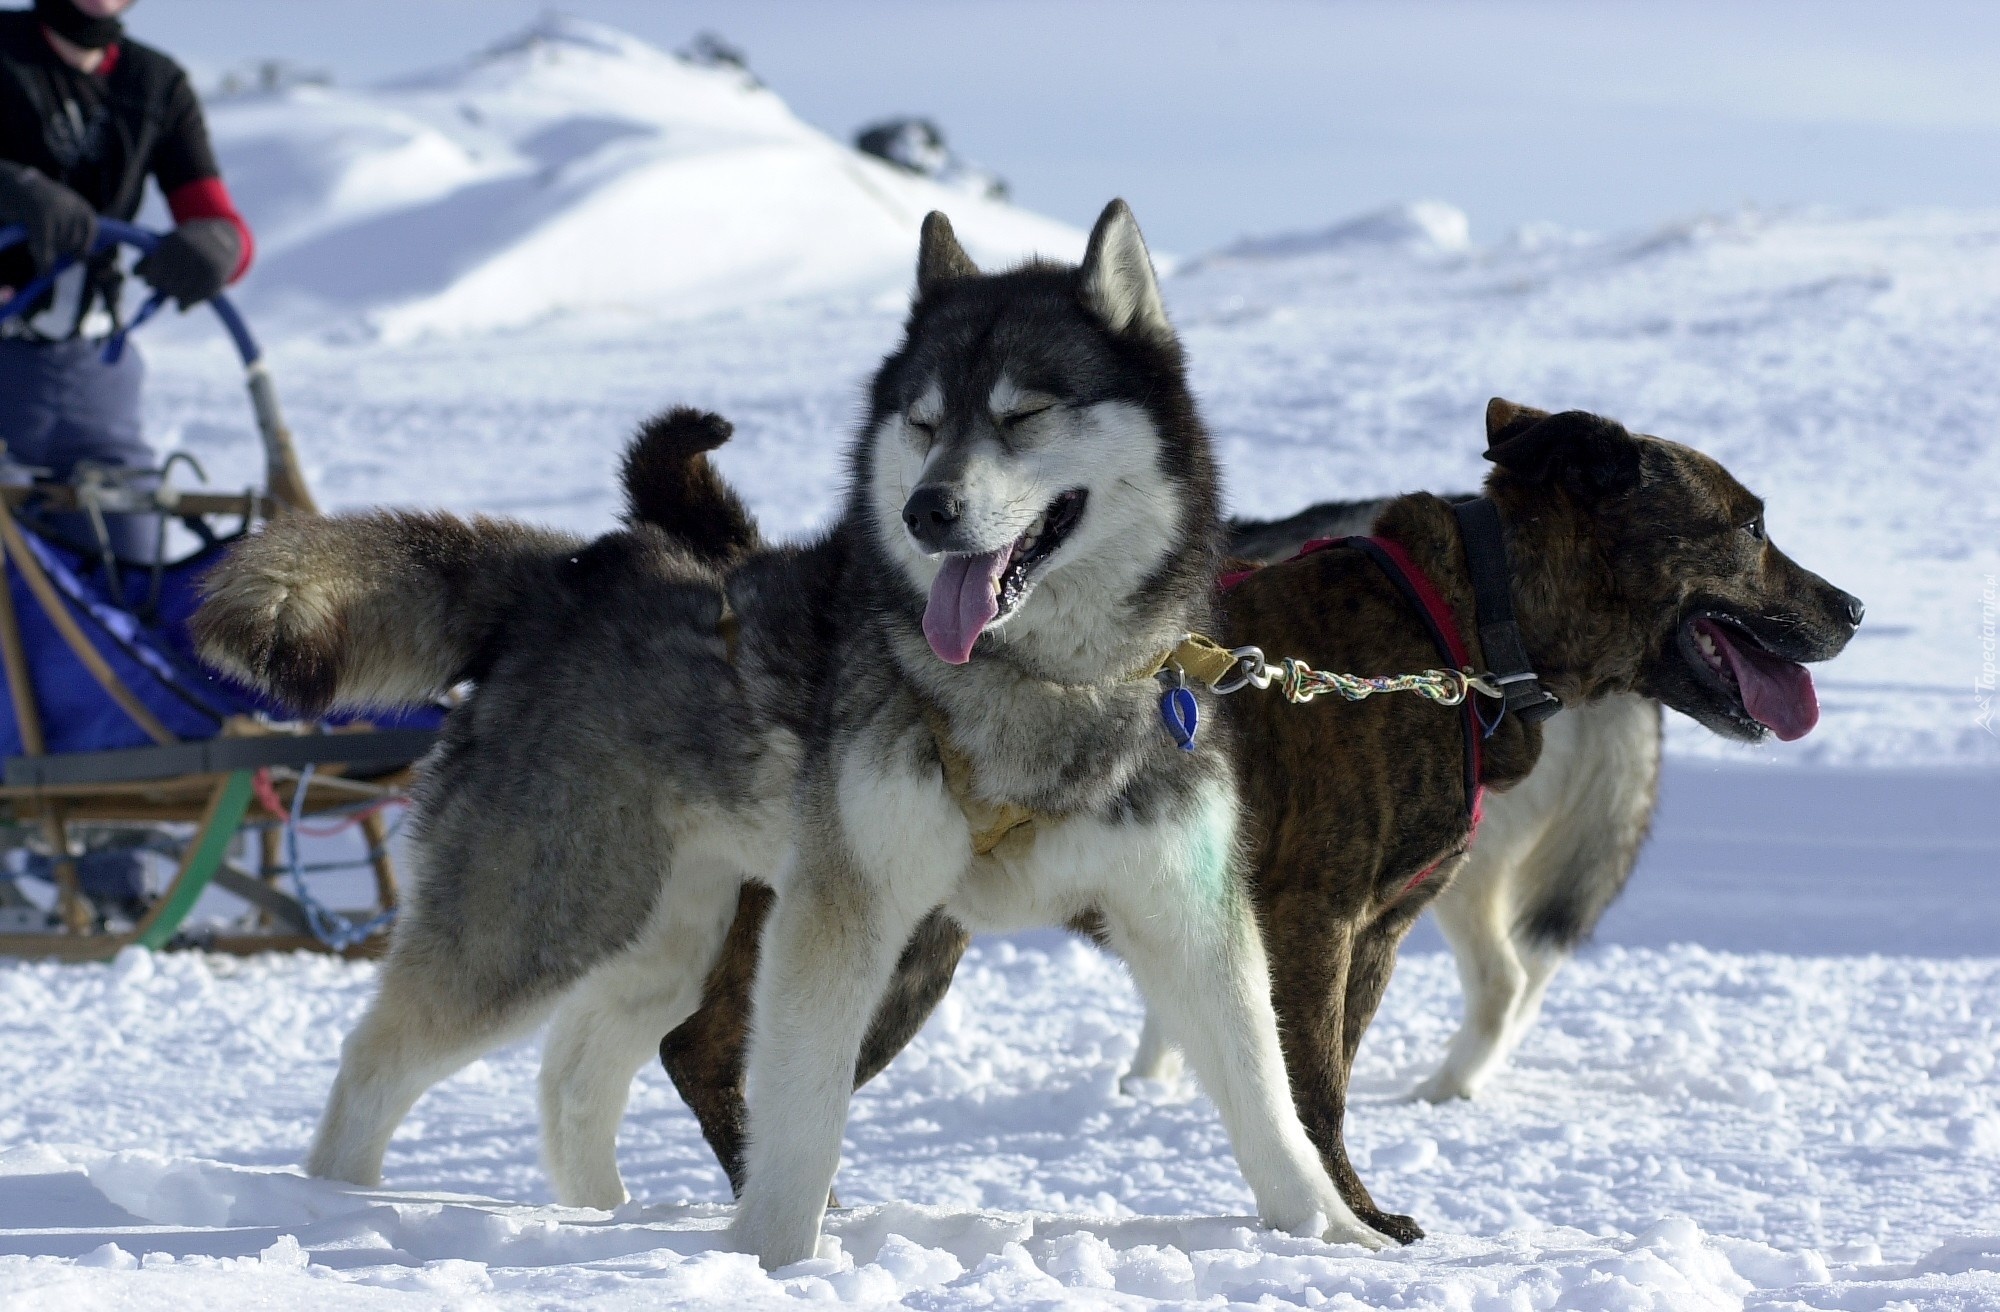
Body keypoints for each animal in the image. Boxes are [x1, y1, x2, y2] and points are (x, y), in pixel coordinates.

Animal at [636, 400, 1856, 1240]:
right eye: (1747, 524)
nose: (1850, 606)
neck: (1454, 627)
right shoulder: (1313, 922)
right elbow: (1314, 1094)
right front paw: (1352, 1223)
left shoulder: (1371, 934)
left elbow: (1317, 1084)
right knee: (710, 1049)